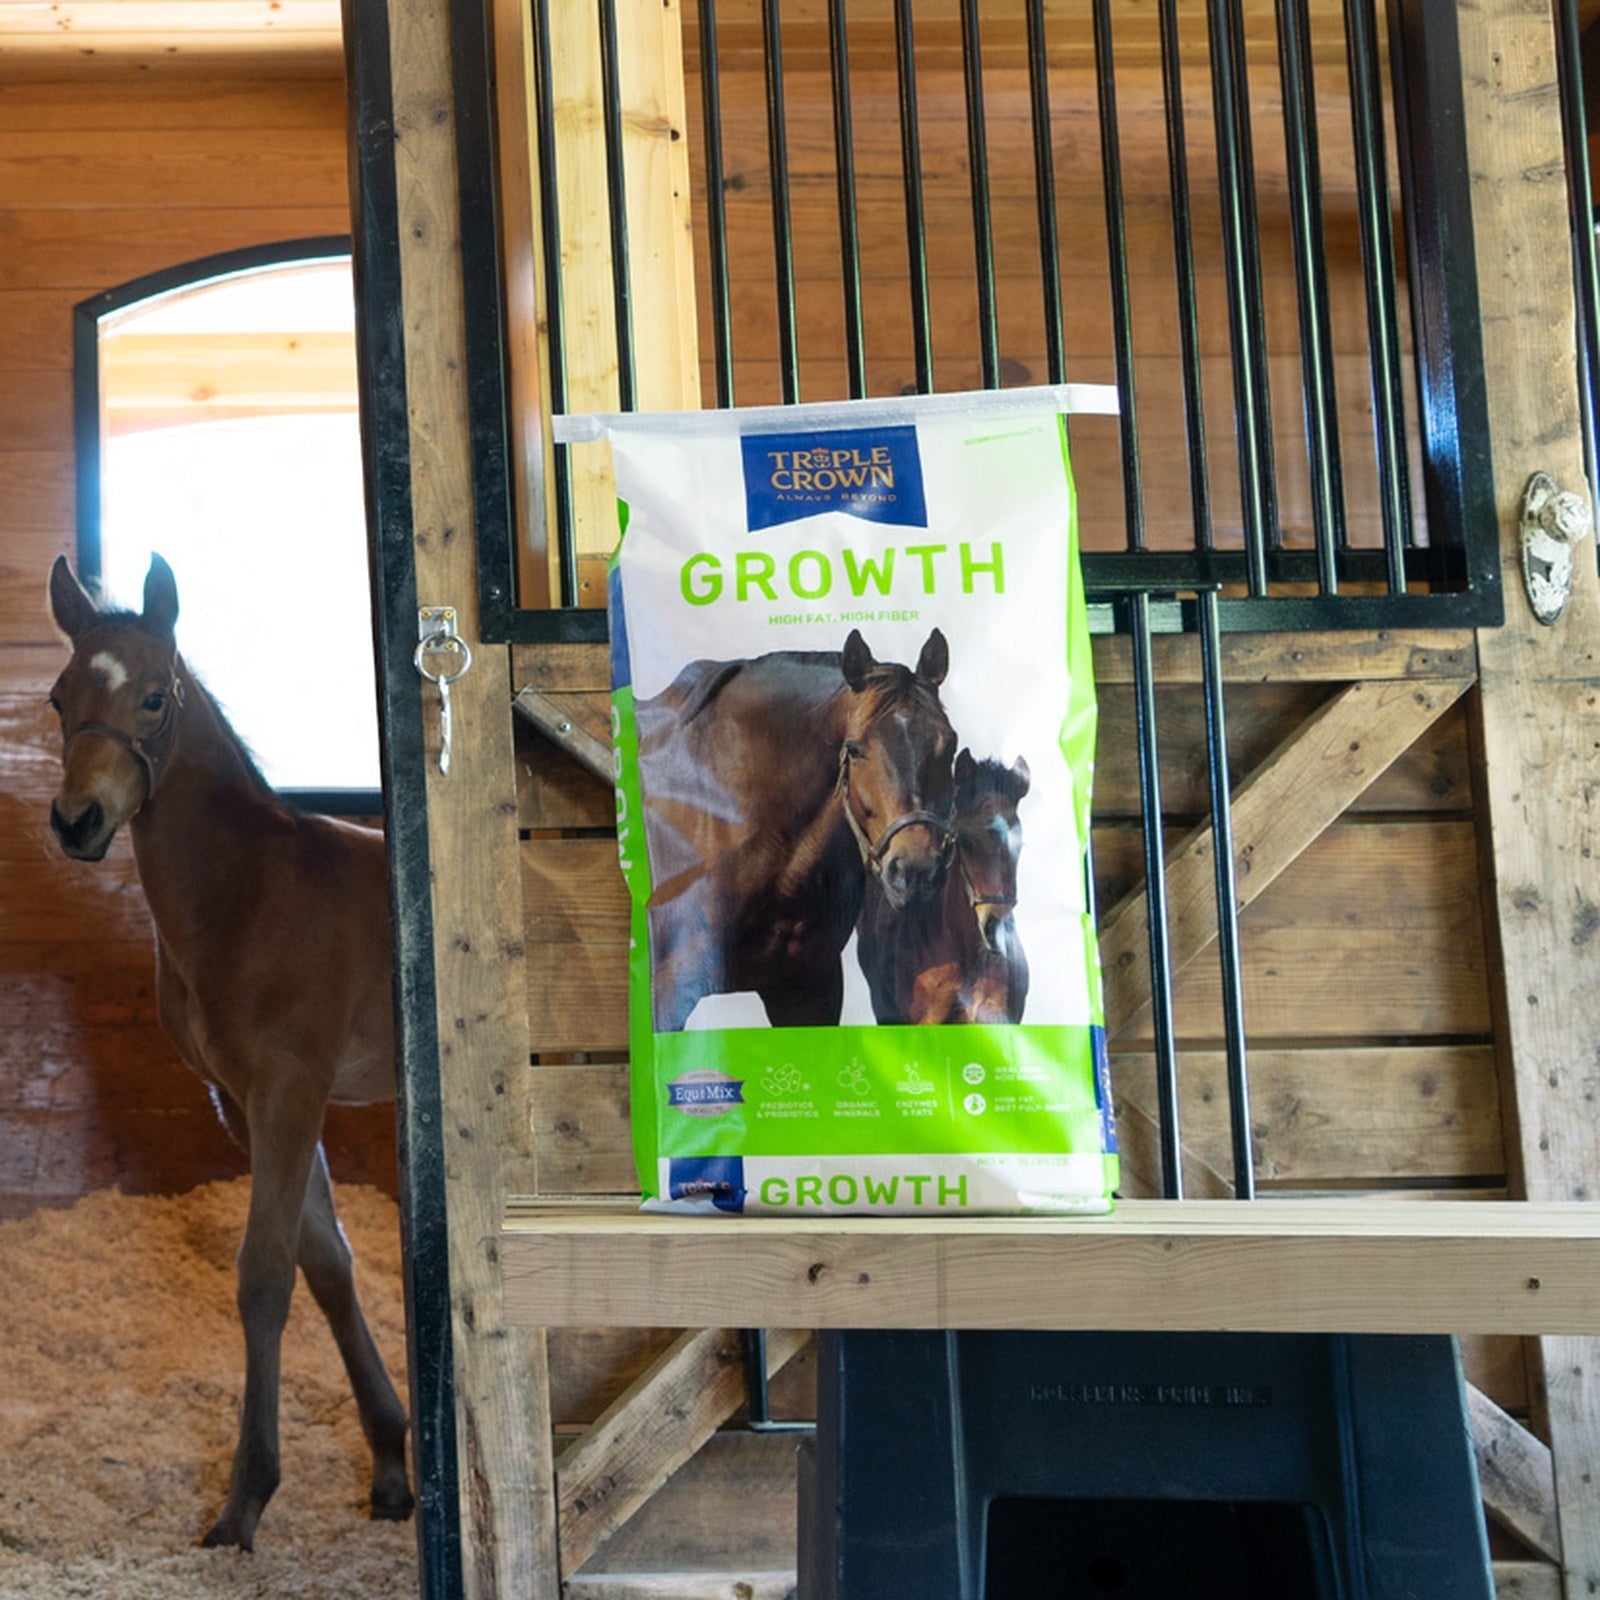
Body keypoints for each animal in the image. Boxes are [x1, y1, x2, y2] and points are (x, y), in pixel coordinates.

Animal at [46, 553, 411, 1551]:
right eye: (58, 698)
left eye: (155, 697)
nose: (76, 821)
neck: (247, 893)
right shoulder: (242, 1101)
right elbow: (326, 1264)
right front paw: (392, 1465)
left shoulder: (291, 1087)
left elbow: (264, 1276)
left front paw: (246, 1499)